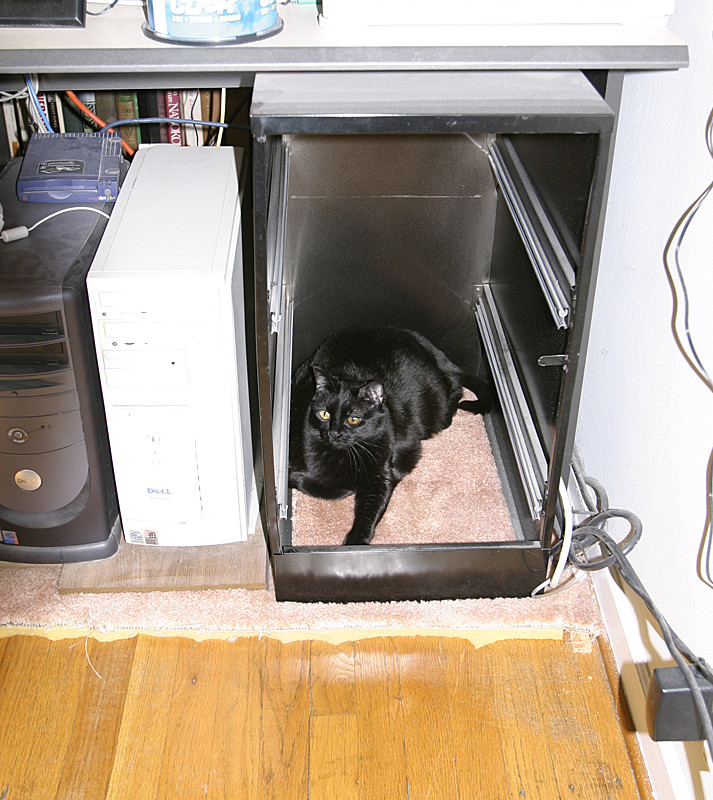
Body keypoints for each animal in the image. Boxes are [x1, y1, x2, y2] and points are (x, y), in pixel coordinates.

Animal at [288, 324, 490, 544]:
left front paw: (356, 541)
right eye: (324, 414)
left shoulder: (383, 474)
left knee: (455, 390)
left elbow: (368, 508)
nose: (334, 433)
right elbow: (323, 486)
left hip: (437, 402)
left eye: (353, 419)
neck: (343, 454)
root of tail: (408, 333)